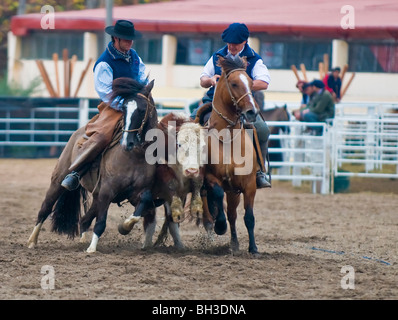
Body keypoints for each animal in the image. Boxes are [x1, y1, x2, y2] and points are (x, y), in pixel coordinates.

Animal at [197, 55, 262, 255]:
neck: (227, 141)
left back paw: (234, 243)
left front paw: (253, 248)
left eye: (251, 82)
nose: (252, 112)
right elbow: (217, 196)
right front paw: (220, 226)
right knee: (210, 210)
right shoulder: (211, 177)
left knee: (233, 215)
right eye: (234, 83)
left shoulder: (248, 185)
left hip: (234, 191)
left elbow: (249, 217)